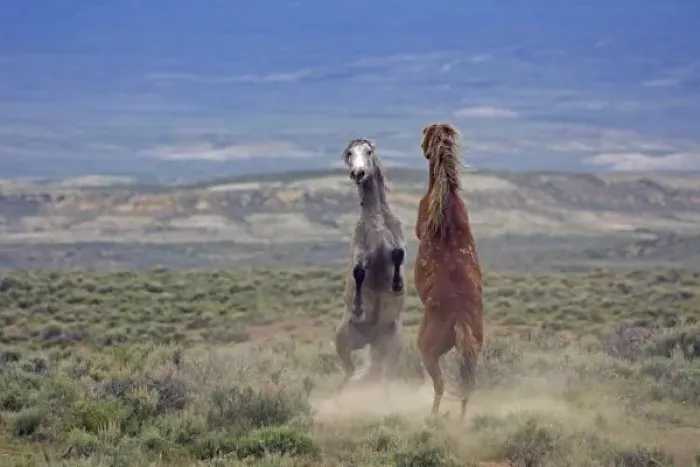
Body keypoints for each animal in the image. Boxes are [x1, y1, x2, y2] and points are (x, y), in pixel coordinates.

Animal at [334, 138, 407, 390]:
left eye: (368, 151)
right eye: (349, 154)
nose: (358, 173)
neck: (376, 222)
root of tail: (371, 338)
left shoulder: (397, 243)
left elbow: (398, 255)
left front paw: (397, 285)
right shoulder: (361, 252)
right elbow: (358, 272)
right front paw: (357, 307)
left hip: (393, 347)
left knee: (386, 376)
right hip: (343, 341)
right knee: (349, 372)